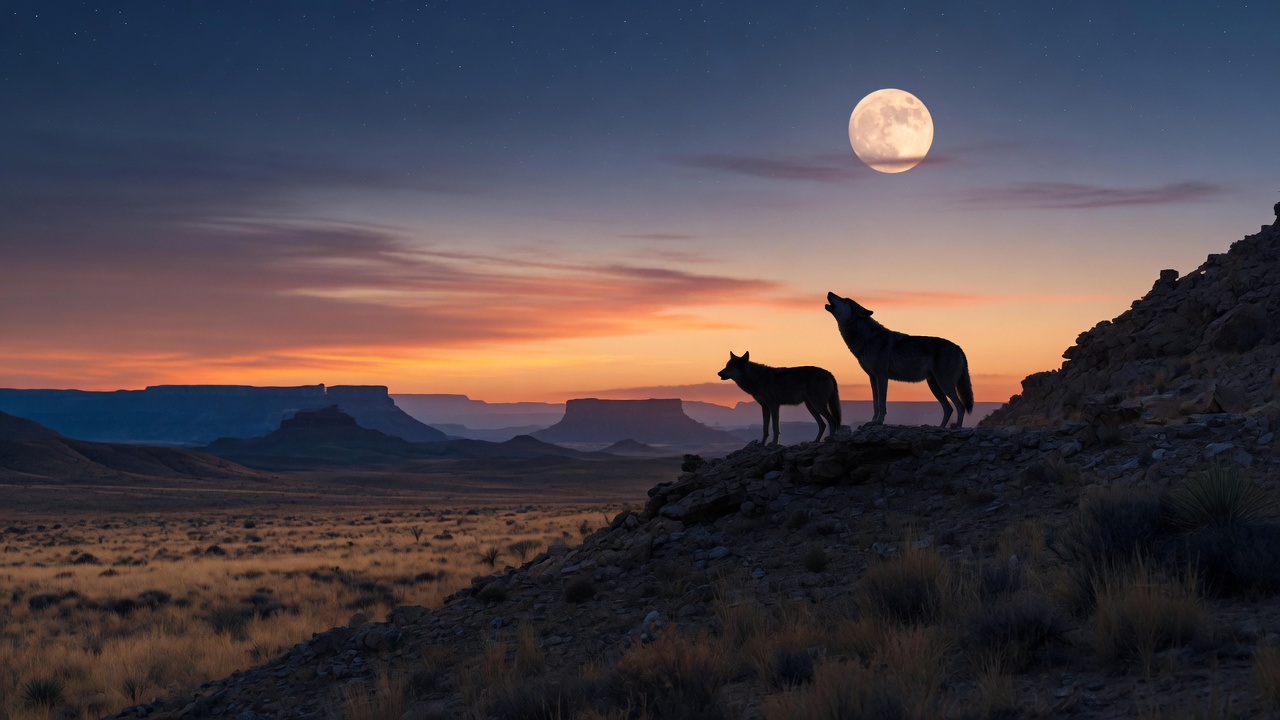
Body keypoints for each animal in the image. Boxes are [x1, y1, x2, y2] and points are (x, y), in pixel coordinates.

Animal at [824, 292, 974, 428]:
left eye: (845, 300)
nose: (829, 292)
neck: (868, 339)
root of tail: (959, 347)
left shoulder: (882, 377)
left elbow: (881, 404)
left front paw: (878, 422)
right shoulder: (872, 378)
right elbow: (875, 403)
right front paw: (872, 421)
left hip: (944, 384)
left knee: (960, 406)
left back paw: (957, 427)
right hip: (934, 385)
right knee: (949, 408)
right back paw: (940, 428)